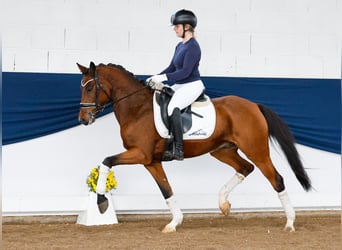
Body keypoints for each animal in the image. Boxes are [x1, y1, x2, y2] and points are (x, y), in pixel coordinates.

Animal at [76, 61, 312, 232]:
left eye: (90, 87)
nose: (83, 119)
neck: (137, 109)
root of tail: (254, 105)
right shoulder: (151, 161)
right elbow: (166, 190)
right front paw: (174, 222)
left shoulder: (140, 154)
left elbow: (107, 161)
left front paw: (101, 201)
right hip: (222, 150)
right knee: (245, 168)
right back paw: (223, 204)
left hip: (257, 151)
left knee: (276, 179)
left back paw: (290, 223)